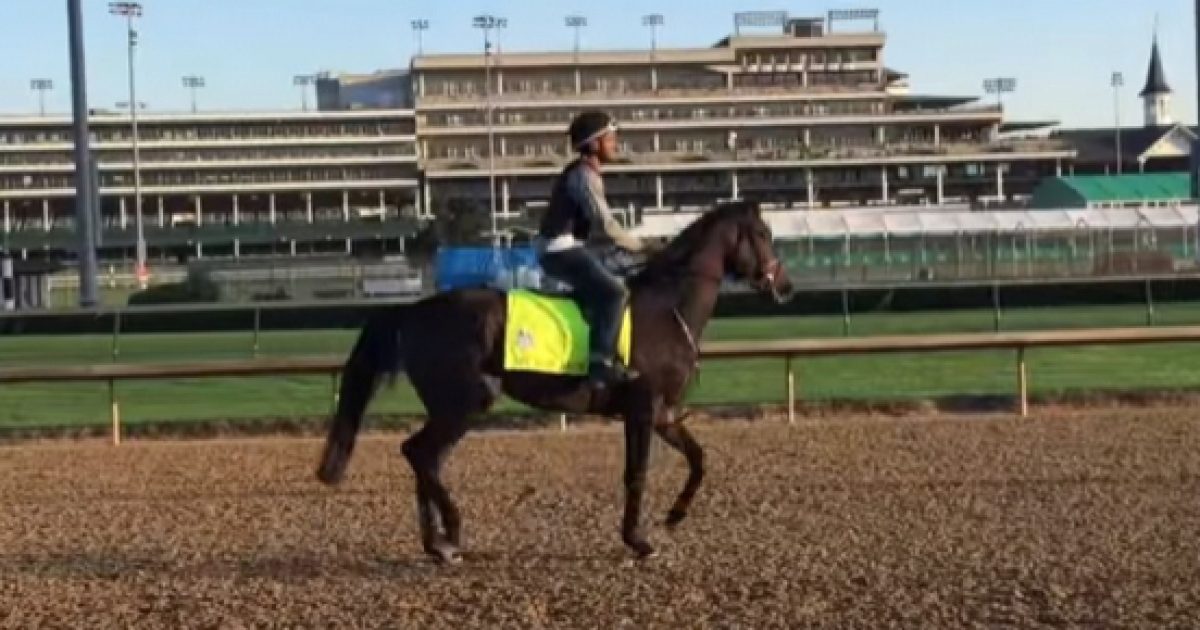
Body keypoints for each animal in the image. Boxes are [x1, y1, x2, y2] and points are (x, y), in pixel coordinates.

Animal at [316, 200, 796, 559]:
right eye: (764, 234)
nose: (786, 286)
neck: (666, 308)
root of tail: (412, 311)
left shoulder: (663, 413)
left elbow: (698, 459)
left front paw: (674, 516)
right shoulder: (641, 409)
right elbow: (636, 472)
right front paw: (637, 540)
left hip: (451, 407)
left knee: (425, 458)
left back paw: (438, 543)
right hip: (465, 403)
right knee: (418, 453)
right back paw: (449, 533)